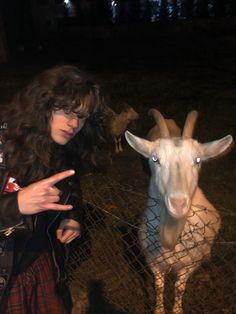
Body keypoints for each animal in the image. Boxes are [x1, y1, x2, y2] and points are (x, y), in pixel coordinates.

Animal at [124, 110, 233, 314]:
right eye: (155, 159)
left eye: (198, 160)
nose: (178, 203)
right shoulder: (152, 260)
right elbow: (159, 286)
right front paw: (159, 309)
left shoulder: (190, 263)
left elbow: (179, 287)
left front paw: (176, 309)